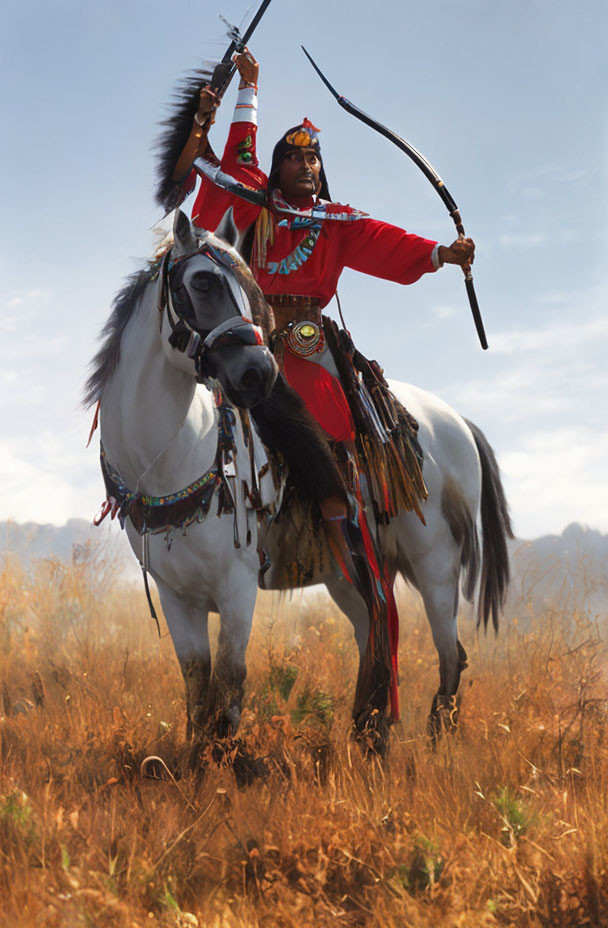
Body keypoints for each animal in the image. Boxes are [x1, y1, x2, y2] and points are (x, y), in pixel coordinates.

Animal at [86, 212, 512, 752]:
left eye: (252, 292)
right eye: (201, 283)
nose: (258, 373)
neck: (174, 455)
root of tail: (457, 421)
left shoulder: (237, 584)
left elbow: (229, 688)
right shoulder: (175, 593)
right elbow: (198, 694)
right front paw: (197, 759)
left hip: (434, 560)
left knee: (448, 653)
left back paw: (436, 741)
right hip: (352, 572)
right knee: (377, 636)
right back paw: (371, 730)